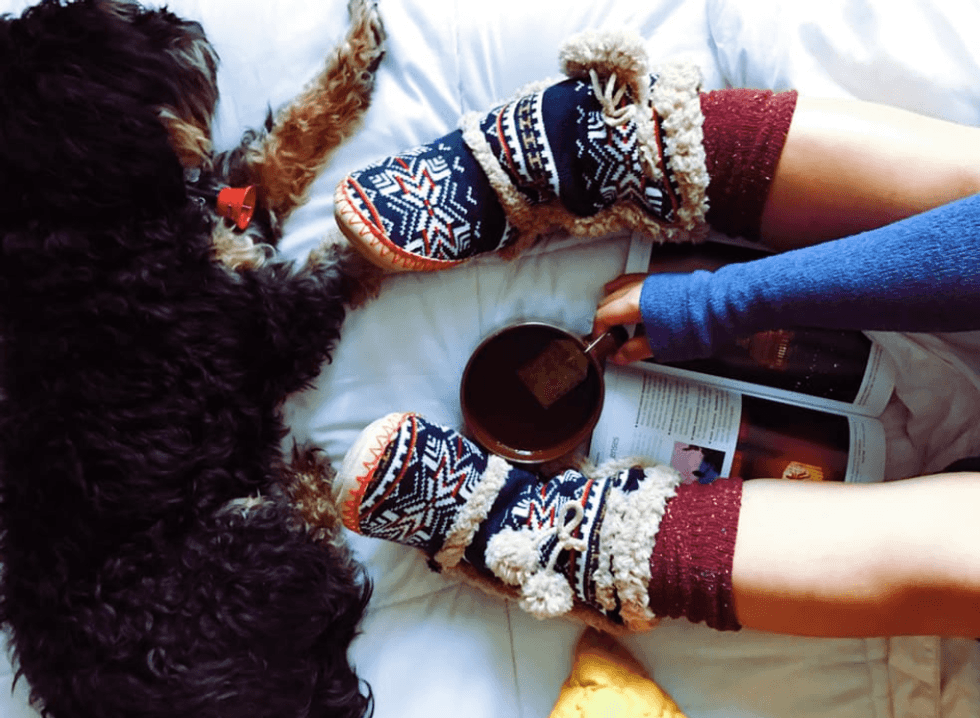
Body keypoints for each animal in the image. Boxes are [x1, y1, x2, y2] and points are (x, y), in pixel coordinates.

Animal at [0, 1, 385, 716]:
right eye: (109, 33)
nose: (178, 23)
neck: (68, 218)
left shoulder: (232, 209)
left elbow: (287, 140)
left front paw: (358, 49)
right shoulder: (268, 322)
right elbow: (350, 255)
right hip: (245, 535)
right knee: (336, 568)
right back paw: (306, 478)